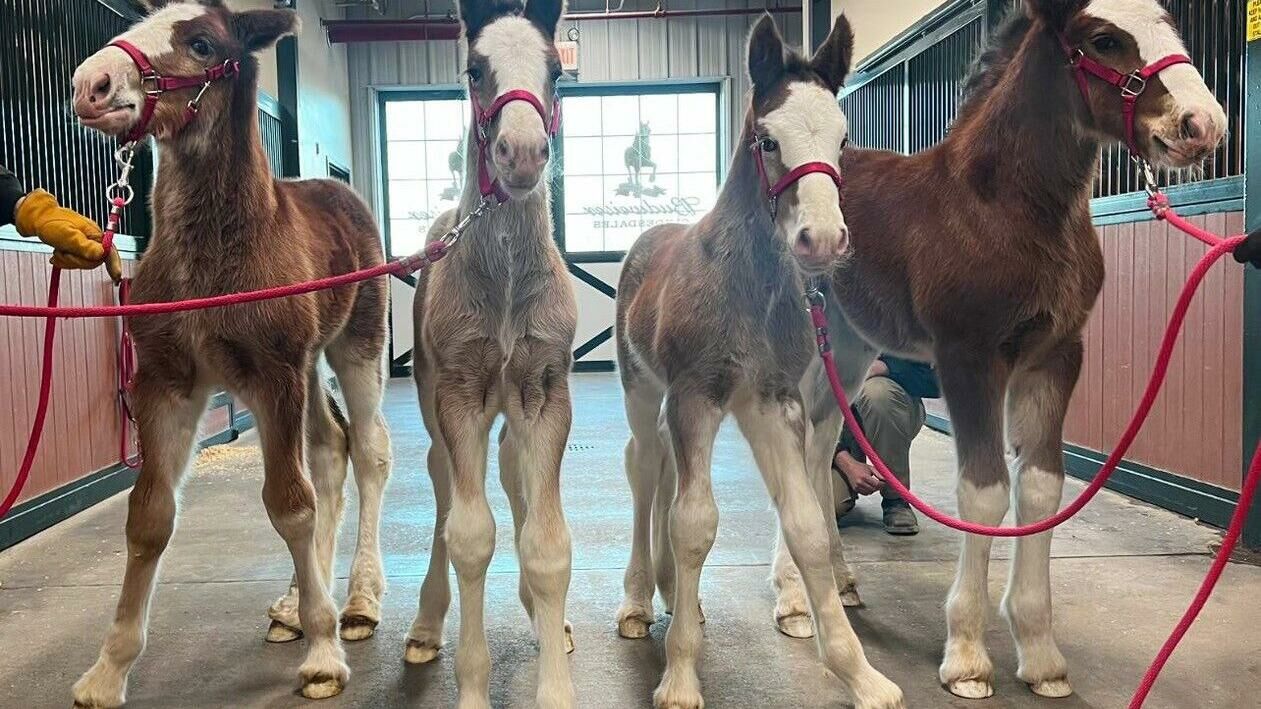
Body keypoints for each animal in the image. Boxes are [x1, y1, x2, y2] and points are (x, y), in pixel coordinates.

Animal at [771, 0, 1225, 696]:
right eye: (1103, 39)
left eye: (1168, 21)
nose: (1202, 125)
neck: (1006, 209)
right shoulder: (969, 357)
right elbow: (983, 489)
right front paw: (966, 655)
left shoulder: (1055, 355)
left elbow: (1039, 488)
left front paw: (1040, 654)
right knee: (801, 442)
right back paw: (793, 600)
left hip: (848, 343)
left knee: (823, 443)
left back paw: (839, 583)